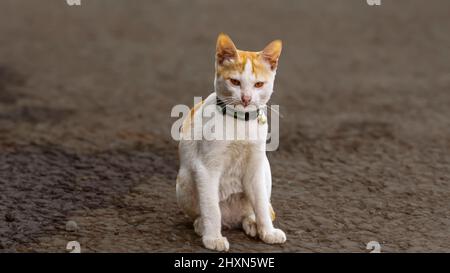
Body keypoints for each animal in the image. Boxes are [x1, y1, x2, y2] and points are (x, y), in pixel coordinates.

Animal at [176, 33, 284, 251]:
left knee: (258, 207)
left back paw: (251, 222)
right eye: (235, 82)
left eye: (259, 84)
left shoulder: (255, 166)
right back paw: (201, 225)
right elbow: (211, 208)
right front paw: (213, 238)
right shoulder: (206, 168)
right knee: (206, 211)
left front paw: (267, 232)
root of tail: (232, 219)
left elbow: (261, 204)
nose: (246, 98)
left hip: (265, 168)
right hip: (183, 181)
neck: (240, 121)